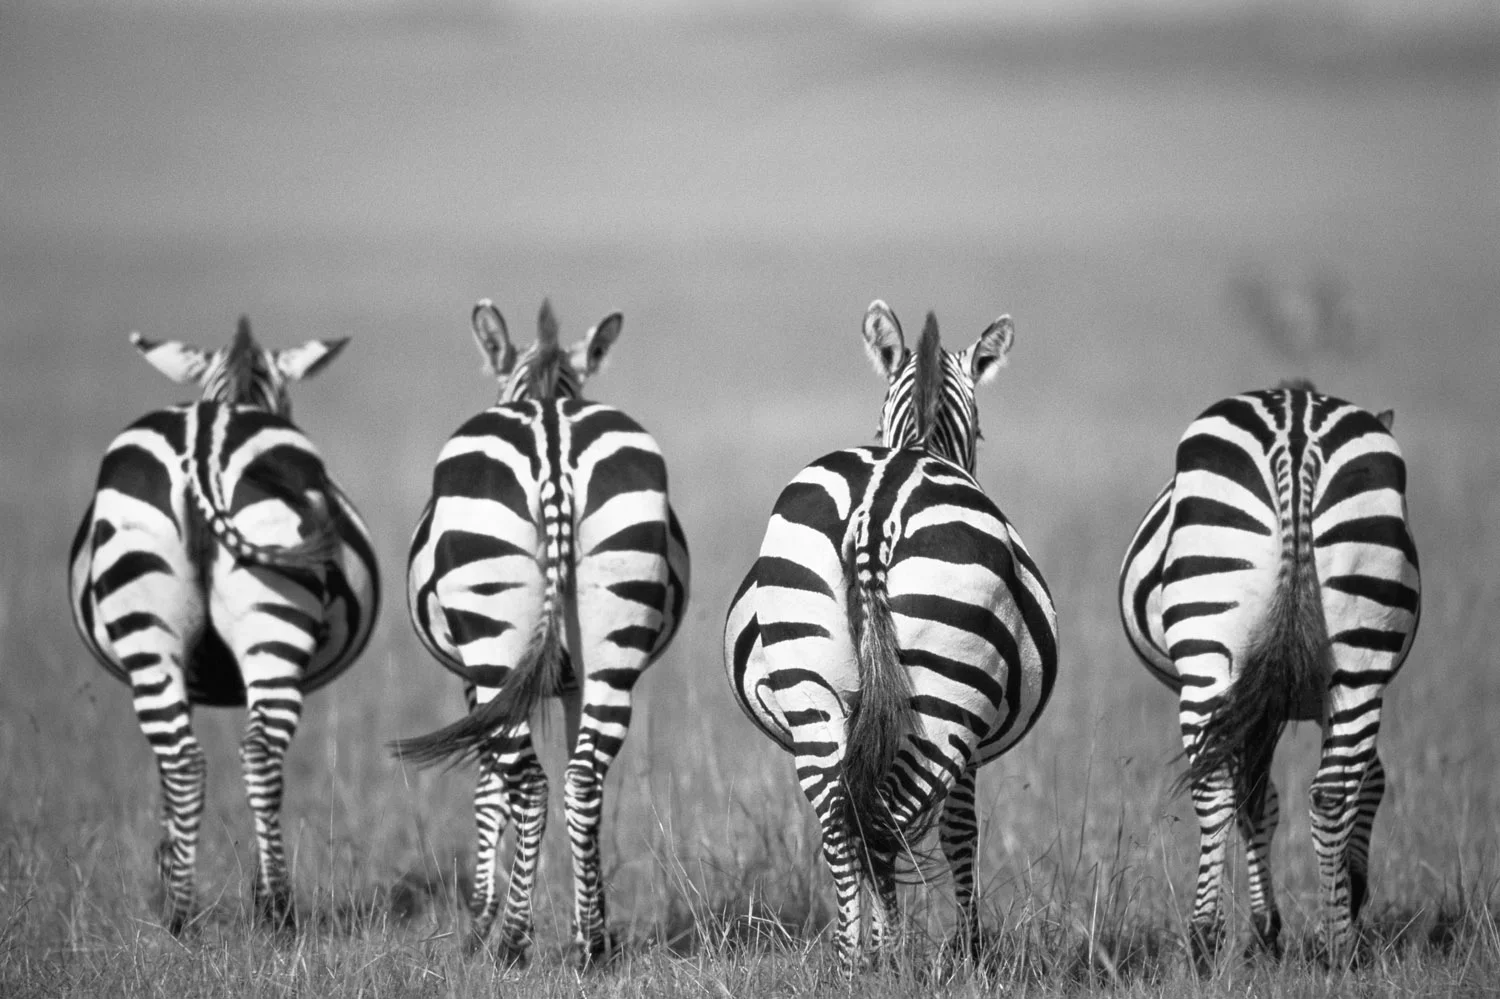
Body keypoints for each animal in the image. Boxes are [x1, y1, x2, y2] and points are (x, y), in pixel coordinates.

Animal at [67, 317, 380, 934]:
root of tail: (204, 438)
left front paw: (168, 867)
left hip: (177, 626)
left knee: (214, 759)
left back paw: (216, 912)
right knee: (231, 757)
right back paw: (232, 909)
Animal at [392, 299, 689, 966]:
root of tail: (552, 438)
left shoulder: (474, 686)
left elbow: (487, 790)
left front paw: (480, 920)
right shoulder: (574, 680)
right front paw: (588, 922)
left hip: (492, 641)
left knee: (527, 784)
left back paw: (510, 941)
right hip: (614, 634)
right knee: (583, 778)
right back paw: (592, 945)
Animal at [723, 300, 1058, 972]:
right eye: (982, 436)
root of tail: (878, 505)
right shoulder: (969, 751)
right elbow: (961, 834)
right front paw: (970, 953)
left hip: (810, 688)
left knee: (841, 820)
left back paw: (853, 960)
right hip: (946, 702)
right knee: (885, 820)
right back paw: (888, 955)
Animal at [1118, 380, 1419, 969]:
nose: (1360, 891)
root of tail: (1296, 432)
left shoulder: (1266, 704)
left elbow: (1260, 799)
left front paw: (1270, 926)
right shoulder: (1283, 703)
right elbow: (1311, 791)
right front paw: (1278, 924)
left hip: (1217, 654)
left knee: (1235, 786)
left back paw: (1212, 939)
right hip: (1350, 659)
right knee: (1323, 790)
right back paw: (1329, 945)